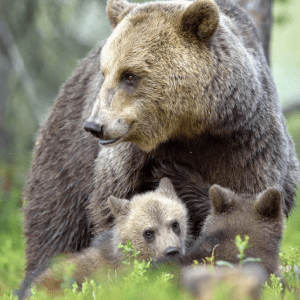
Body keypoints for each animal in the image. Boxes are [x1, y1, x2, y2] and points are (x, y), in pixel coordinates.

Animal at [22, 0, 298, 278]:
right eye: (105, 72)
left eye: (129, 75)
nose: (94, 126)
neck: (191, 127)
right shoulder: (130, 162)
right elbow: (117, 211)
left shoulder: (244, 144)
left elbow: (246, 204)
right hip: (67, 161)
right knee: (54, 225)